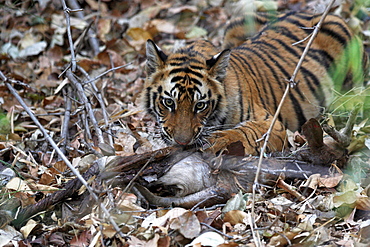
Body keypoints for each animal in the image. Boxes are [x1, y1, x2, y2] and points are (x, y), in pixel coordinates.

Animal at [141, 11, 368, 155]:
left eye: (200, 105)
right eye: (169, 102)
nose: (182, 141)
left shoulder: (271, 124)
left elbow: (245, 132)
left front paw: (218, 140)